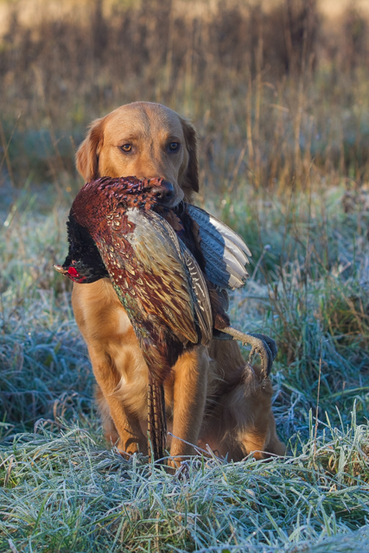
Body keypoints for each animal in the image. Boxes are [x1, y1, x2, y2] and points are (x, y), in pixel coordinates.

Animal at [73, 101, 284, 464]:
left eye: (173, 145)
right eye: (126, 147)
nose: (161, 192)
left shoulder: (193, 353)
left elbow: (182, 435)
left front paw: (175, 476)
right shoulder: (99, 352)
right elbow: (127, 424)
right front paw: (132, 464)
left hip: (246, 394)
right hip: (102, 396)